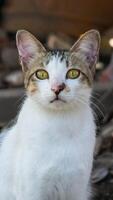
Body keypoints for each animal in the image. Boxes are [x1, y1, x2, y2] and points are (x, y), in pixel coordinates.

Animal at [0, 28, 100, 199]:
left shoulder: (78, 187)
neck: (59, 122)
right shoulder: (31, 189)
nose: (57, 88)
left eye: (73, 73)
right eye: (41, 74)